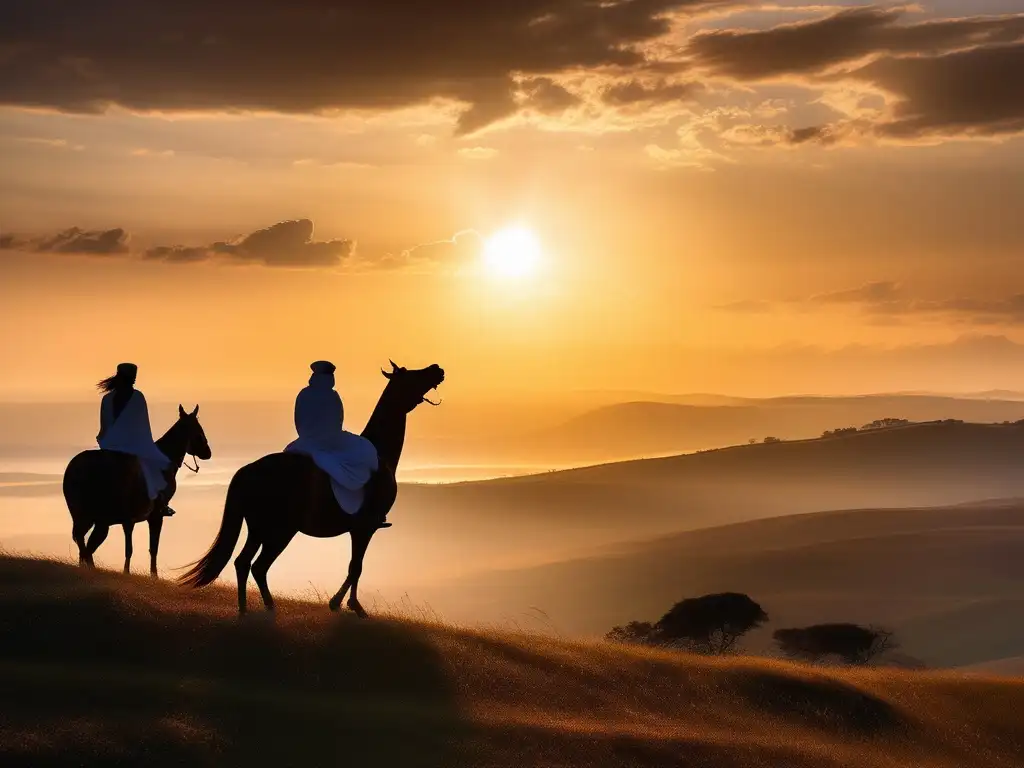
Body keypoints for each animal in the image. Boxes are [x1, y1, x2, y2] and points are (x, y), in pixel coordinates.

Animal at [61, 409, 211, 577]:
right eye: (199, 431)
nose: (208, 452)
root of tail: (73, 468)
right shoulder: (153, 516)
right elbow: (149, 548)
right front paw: (150, 575)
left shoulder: (130, 520)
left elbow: (134, 548)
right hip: (91, 518)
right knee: (85, 543)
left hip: (90, 518)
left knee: (85, 543)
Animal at [180, 362, 444, 618]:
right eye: (412, 375)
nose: (437, 368)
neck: (381, 455)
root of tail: (248, 470)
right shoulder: (364, 528)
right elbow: (356, 567)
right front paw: (348, 605)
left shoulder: (359, 529)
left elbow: (354, 567)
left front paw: (340, 603)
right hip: (279, 532)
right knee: (258, 565)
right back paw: (268, 607)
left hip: (258, 530)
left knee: (243, 563)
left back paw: (246, 608)